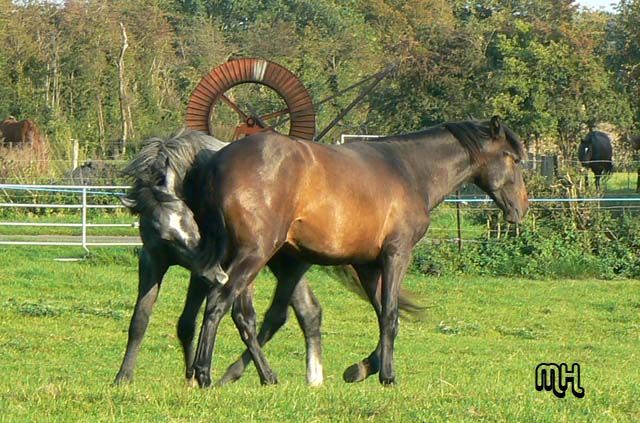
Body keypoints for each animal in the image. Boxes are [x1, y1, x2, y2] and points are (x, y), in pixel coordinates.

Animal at [114, 130, 324, 388]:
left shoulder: (203, 272)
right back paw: (309, 377)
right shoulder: (153, 261)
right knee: (305, 311)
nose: (219, 276)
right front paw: (123, 376)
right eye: (164, 234)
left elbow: (187, 323)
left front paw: (192, 376)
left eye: (192, 220)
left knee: (278, 315)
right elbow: (140, 319)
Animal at [188, 116, 528, 388]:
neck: (409, 170)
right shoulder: (396, 254)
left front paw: (361, 368)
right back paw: (204, 374)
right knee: (220, 302)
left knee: (240, 314)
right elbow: (390, 313)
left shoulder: (367, 265)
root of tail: (216, 164)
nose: (522, 208)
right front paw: (387, 375)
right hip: (255, 255)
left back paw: (247, 374)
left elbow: (383, 314)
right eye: (514, 159)